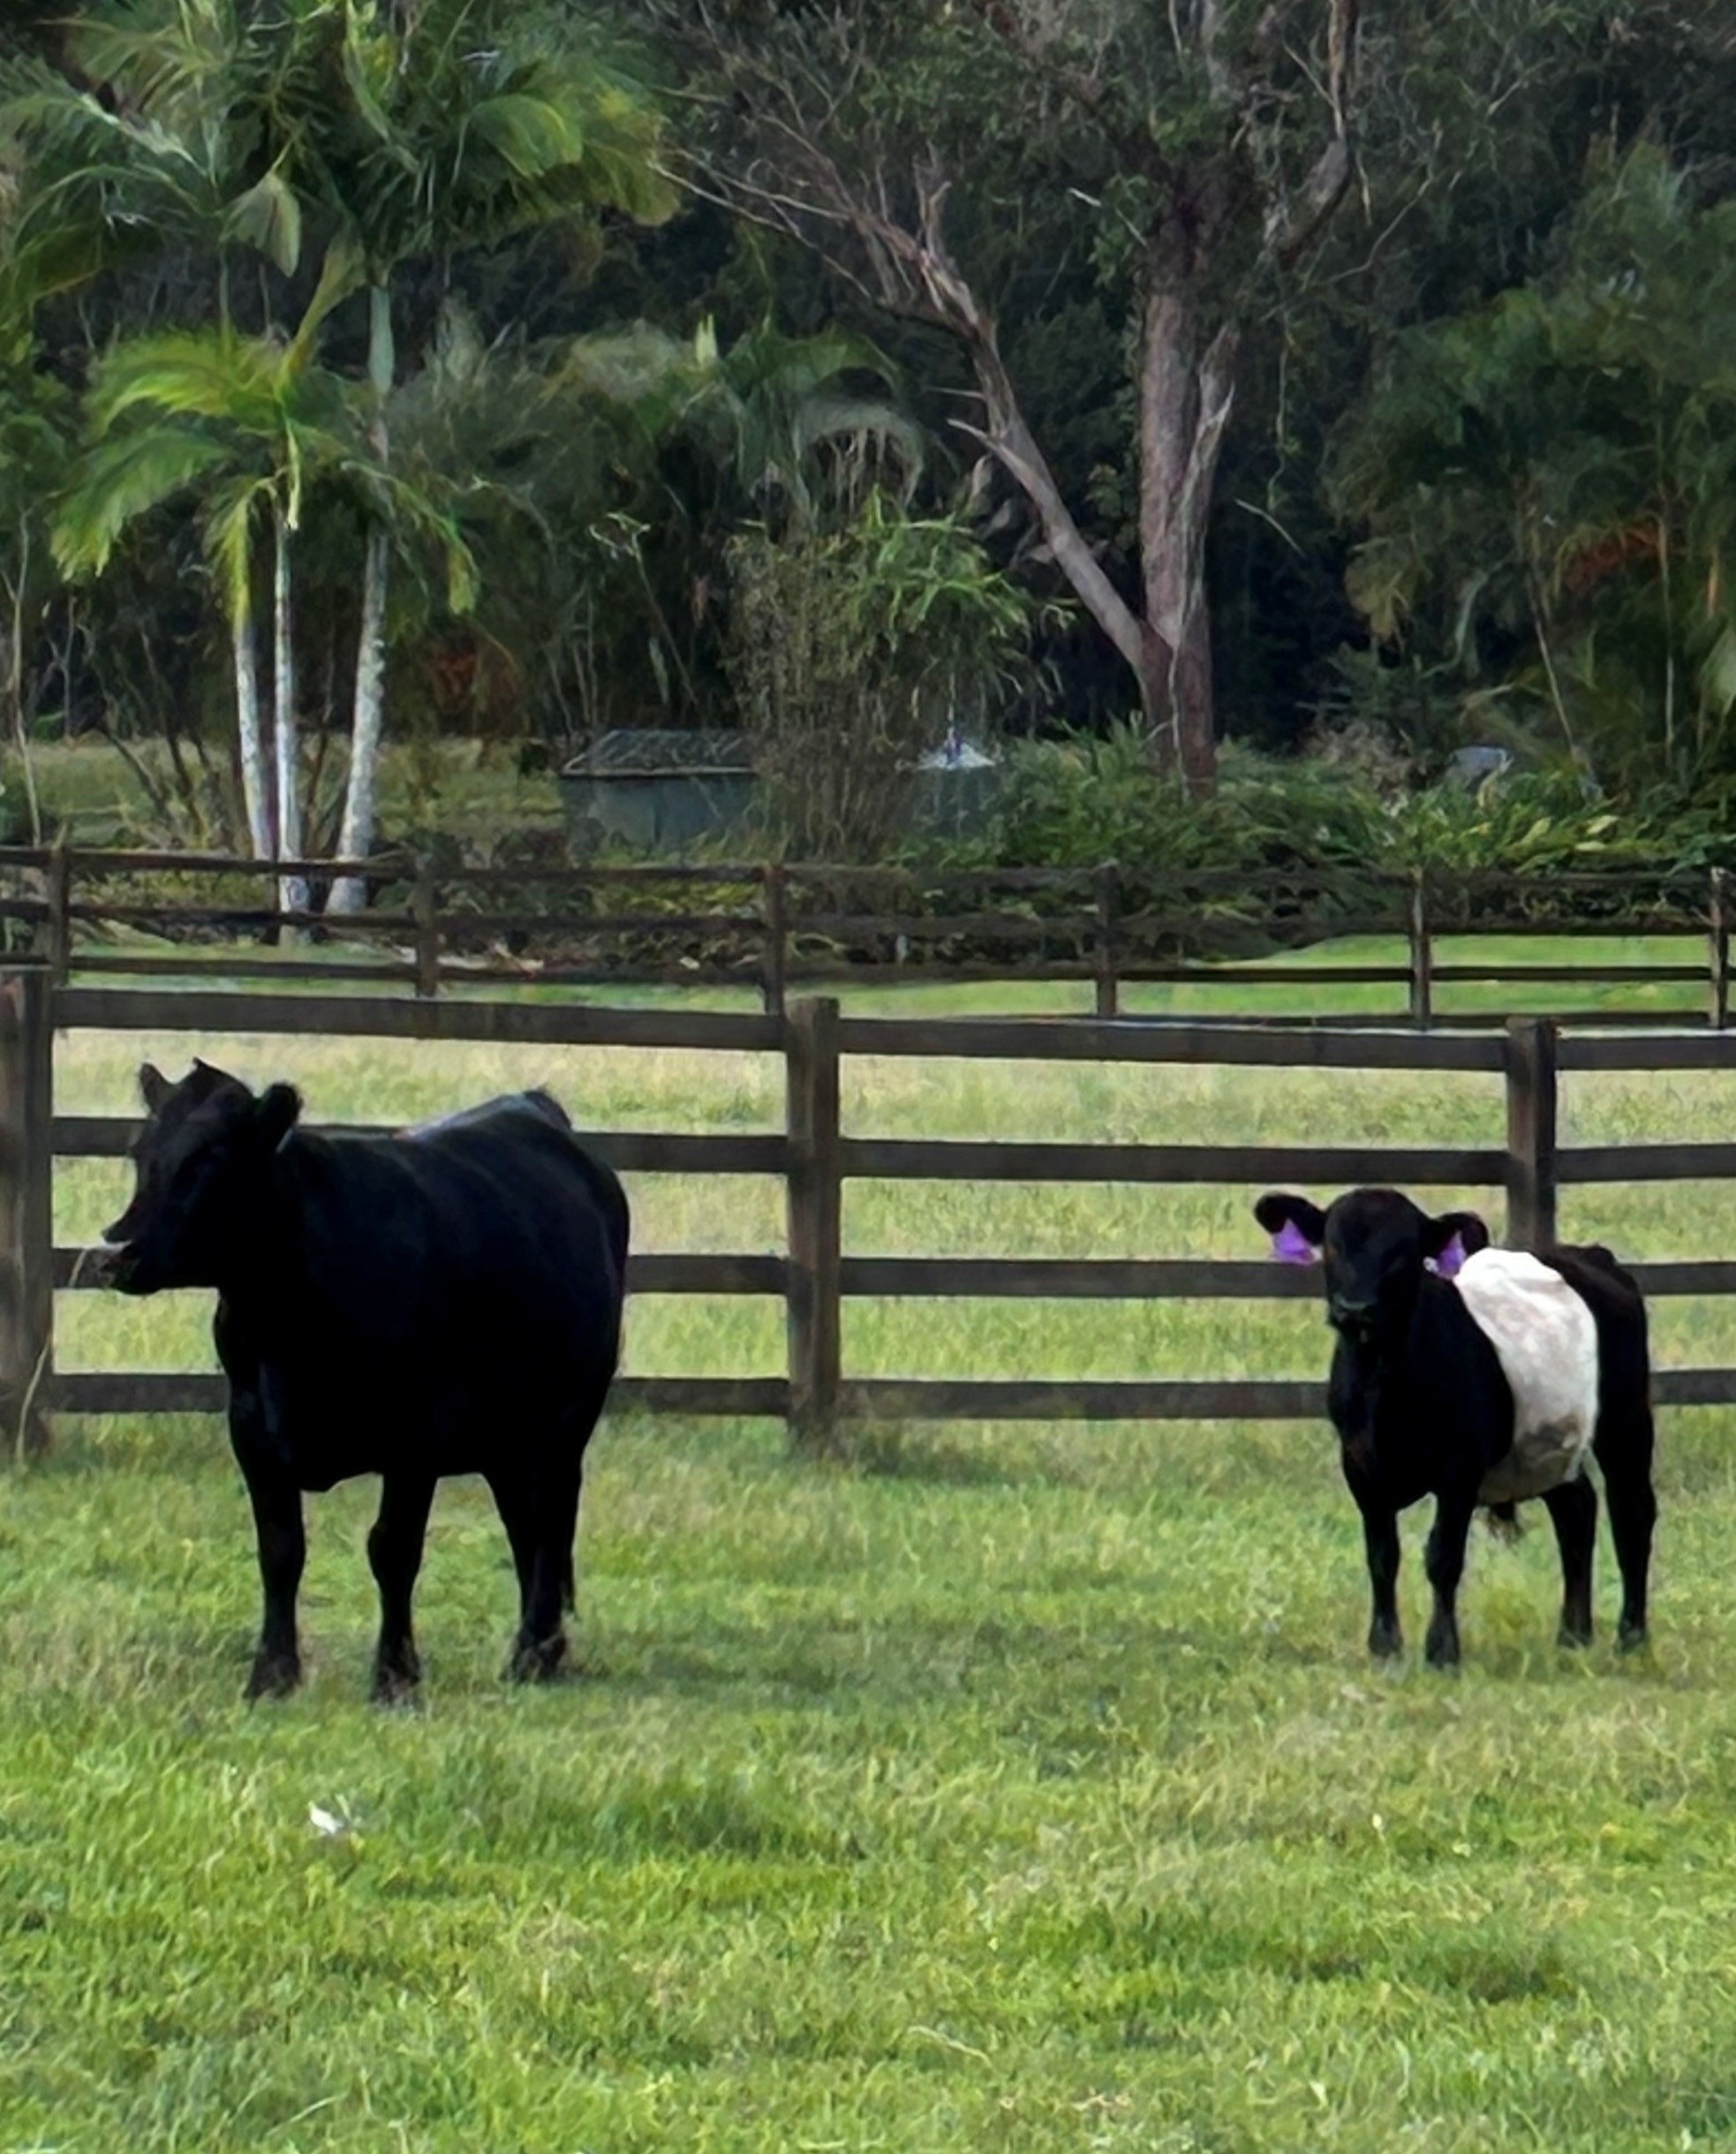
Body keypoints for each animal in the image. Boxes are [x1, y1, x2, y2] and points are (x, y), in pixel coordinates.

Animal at [101, 1060, 629, 1703]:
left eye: (211, 1157)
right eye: (140, 1152)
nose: (115, 1250)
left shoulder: (416, 1438)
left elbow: (392, 1550)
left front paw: (394, 1676)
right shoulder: (251, 1430)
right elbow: (280, 1551)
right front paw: (271, 1675)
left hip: (565, 1422)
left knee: (550, 1520)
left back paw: (534, 1651)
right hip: (505, 1436)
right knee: (523, 1525)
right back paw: (543, 1649)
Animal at [1253, 1186, 1656, 1668]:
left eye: (1404, 1252)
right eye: (1332, 1244)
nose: (1355, 1309)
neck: (1383, 1387)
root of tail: (1590, 1255)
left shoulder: (1459, 1471)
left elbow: (1442, 1556)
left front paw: (1442, 1651)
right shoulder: (1361, 1467)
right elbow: (1382, 1556)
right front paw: (1385, 1647)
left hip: (1626, 1419)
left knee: (1632, 1515)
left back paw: (1631, 1636)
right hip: (1544, 1440)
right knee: (1576, 1510)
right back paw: (1573, 1635)